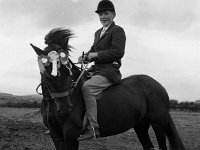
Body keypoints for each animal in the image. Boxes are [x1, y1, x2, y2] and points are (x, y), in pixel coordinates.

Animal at [30, 28, 185, 150]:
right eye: (46, 74)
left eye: (67, 70)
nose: (65, 109)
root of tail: (158, 85)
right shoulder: (55, 134)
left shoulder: (71, 134)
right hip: (141, 125)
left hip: (158, 124)